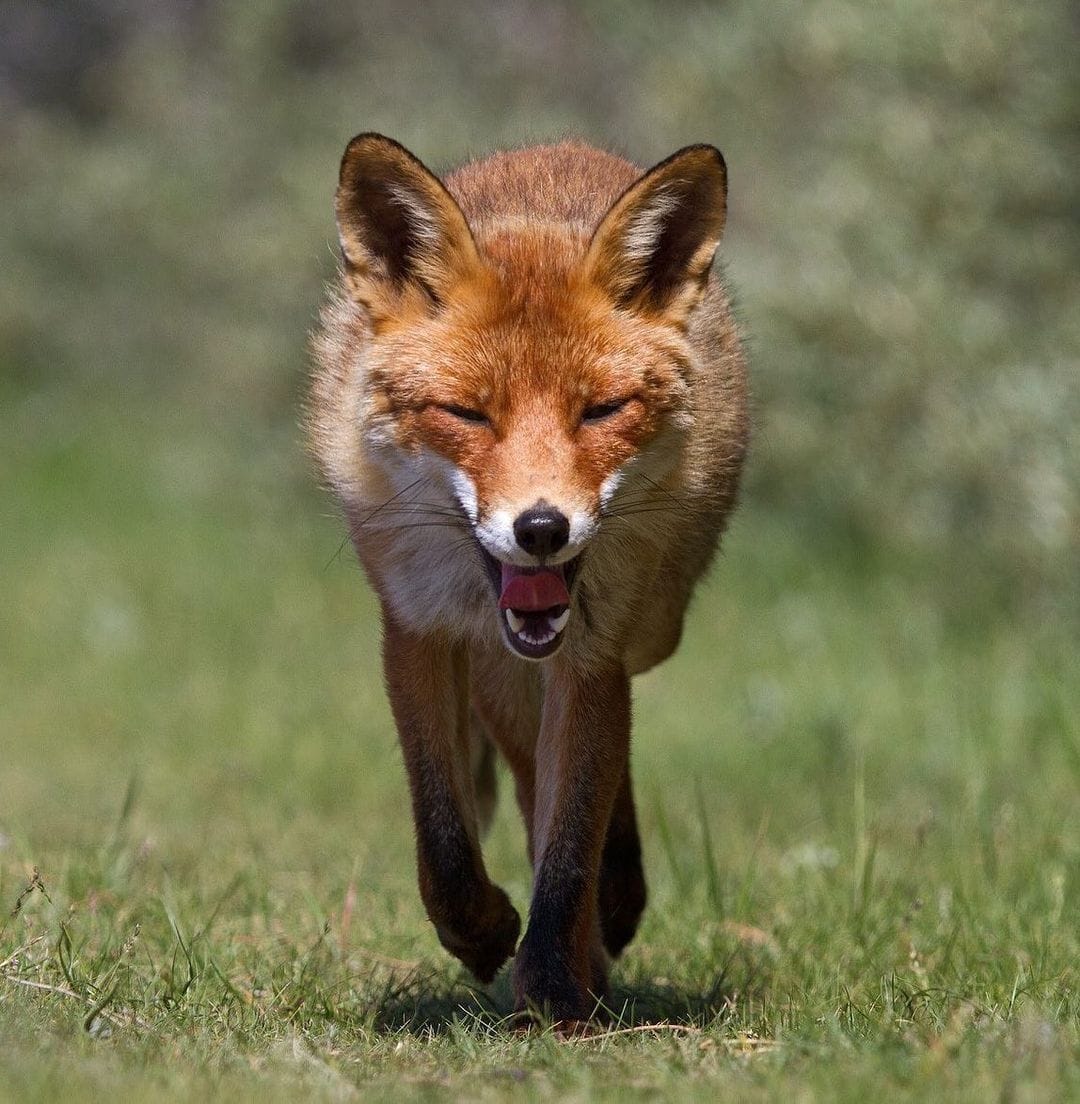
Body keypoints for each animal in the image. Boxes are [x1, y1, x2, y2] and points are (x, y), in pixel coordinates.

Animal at [309, 133, 749, 1024]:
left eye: (602, 412)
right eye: (468, 414)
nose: (541, 530)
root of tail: (559, 147)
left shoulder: (590, 657)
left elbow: (569, 843)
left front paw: (550, 991)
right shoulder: (415, 631)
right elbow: (443, 836)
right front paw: (483, 936)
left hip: (646, 633)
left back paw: (605, 922)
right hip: (500, 674)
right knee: (523, 780)